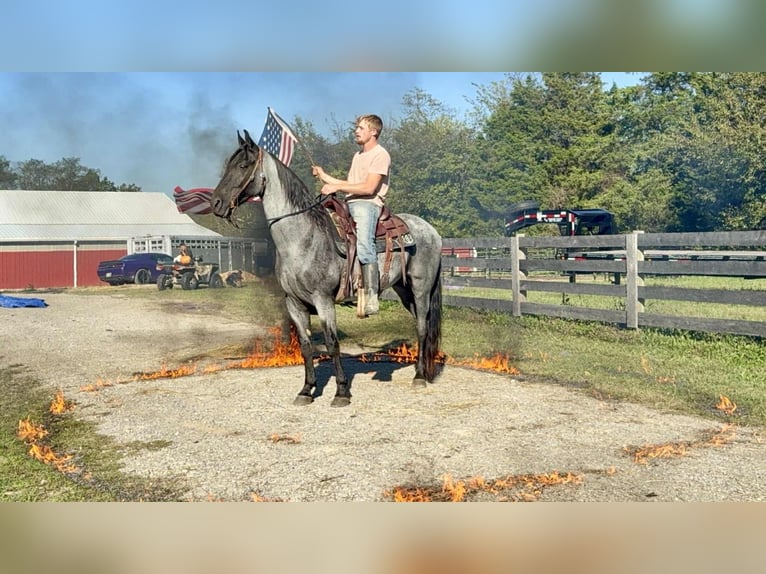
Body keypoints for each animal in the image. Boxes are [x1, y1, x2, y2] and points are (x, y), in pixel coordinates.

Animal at [210, 130, 443, 407]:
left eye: (243, 166)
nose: (216, 203)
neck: (302, 238)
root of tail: (431, 231)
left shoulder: (324, 300)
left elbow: (332, 344)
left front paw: (341, 391)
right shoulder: (294, 303)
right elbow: (306, 345)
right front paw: (306, 389)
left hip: (420, 289)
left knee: (422, 327)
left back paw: (419, 377)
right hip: (404, 290)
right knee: (422, 324)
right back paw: (422, 370)